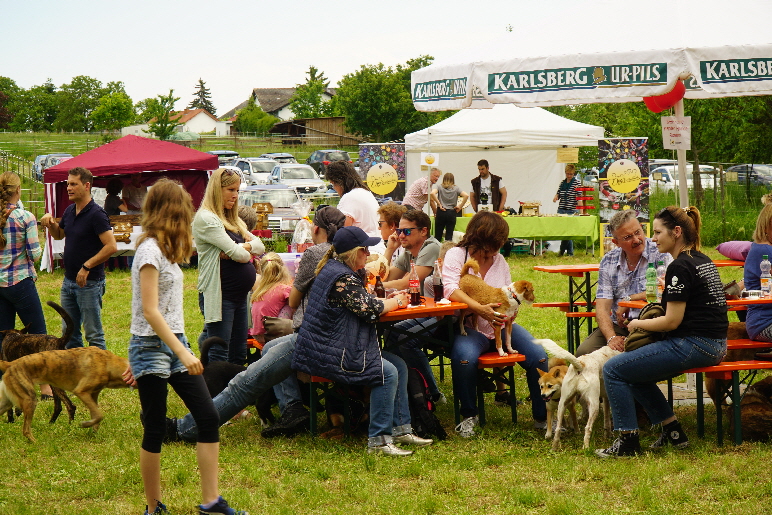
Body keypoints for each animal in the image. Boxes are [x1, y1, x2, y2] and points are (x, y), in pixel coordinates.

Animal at [0, 346, 130, 444]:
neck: (107, 362)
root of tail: (10, 364)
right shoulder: (81, 391)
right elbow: (99, 415)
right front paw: (86, 425)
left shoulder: (93, 395)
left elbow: (96, 415)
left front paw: (93, 432)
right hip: (30, 399)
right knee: (26, 430)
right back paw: (36, 442)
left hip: (8, 402)